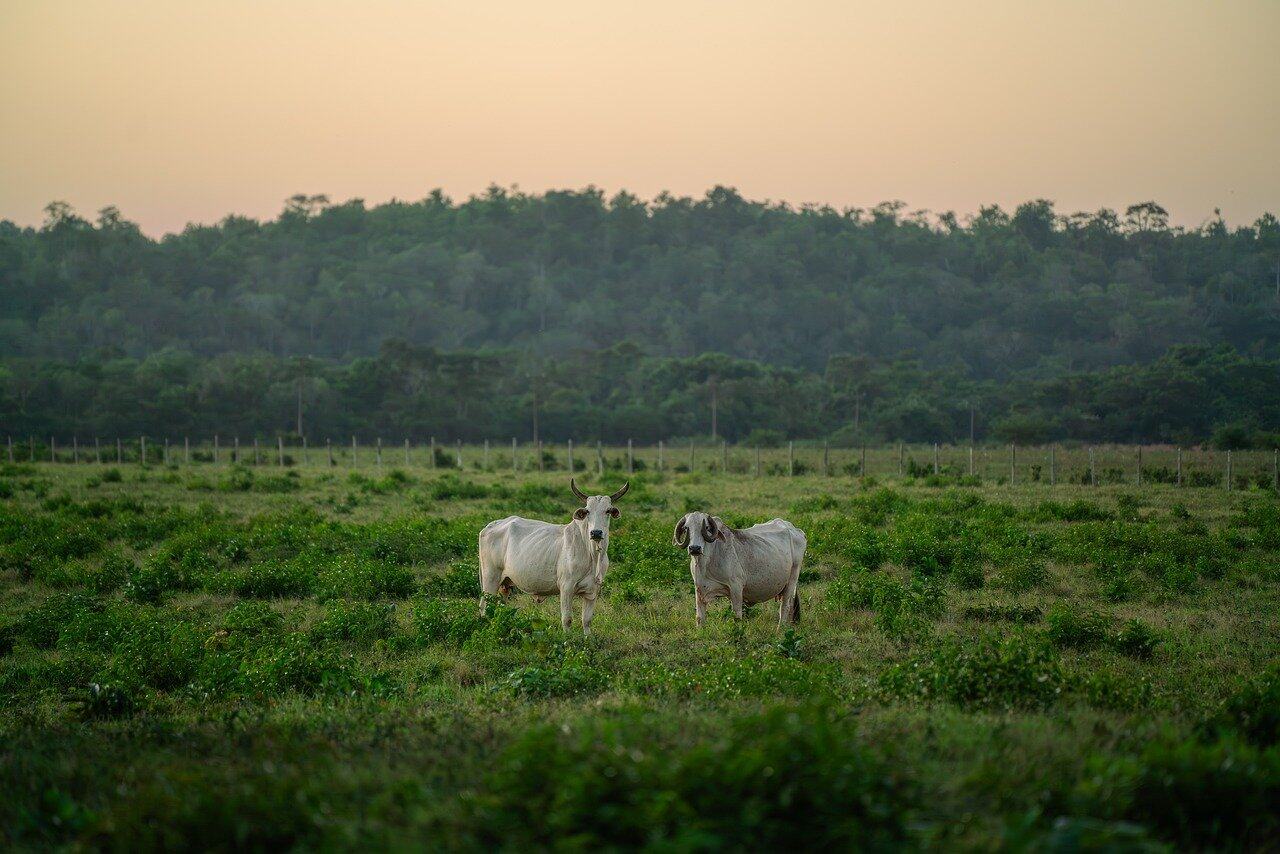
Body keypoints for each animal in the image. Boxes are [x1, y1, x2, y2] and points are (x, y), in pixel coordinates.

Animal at [478, 481, 627, 635]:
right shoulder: (566, 587)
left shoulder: (593, 590)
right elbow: (567, 619)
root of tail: (490, 525)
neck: (593, 555)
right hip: (490, 579)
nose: (596, 532)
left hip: (504, 585)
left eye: (608, 511)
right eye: (587, 511)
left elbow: (587, 620)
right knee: (484, 606)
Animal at [675, 512, 803, 632]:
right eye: (686, 528)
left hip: (792, 581)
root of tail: (794, 529)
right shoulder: (699, 589)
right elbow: (699, 618)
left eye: (706, 527)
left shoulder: (736, 588)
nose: (694, 548)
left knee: (785, 607)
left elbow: (736, 616)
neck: (706, 562)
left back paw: (780, 629)